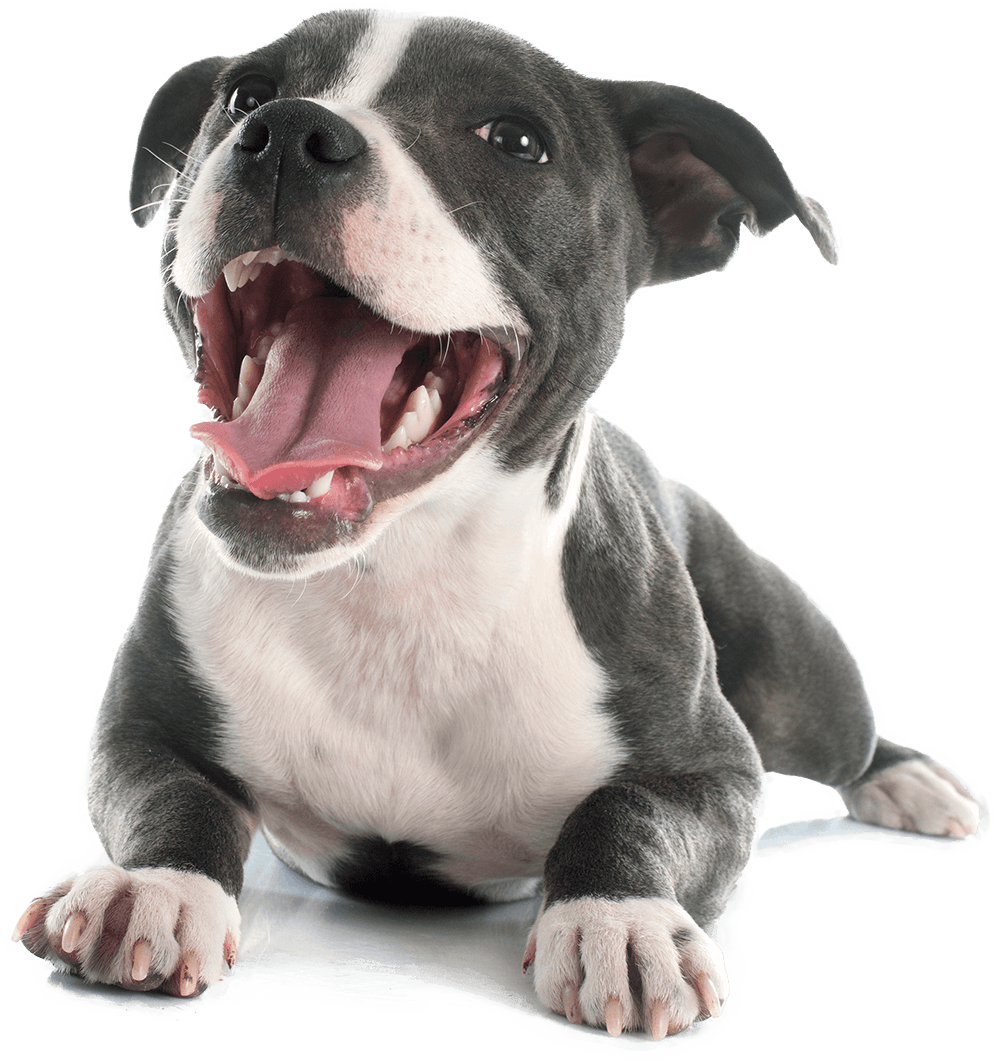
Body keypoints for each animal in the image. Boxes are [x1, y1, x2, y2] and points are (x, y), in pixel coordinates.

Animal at [14, 5, 981, 1037]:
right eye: (246, 94)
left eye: (515, 142)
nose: (287, 132)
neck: (396, 580)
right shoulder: (140, 725)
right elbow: (170, 794)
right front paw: (148, 886)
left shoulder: (713, 772)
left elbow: (629, 812)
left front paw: (619, 918)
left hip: (797, 666)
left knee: (847, 735)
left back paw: (910, 779)